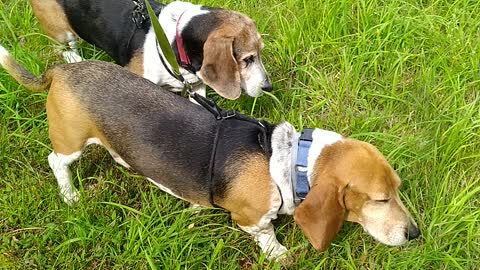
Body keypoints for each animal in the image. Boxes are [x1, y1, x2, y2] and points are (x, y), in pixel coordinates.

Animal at [0, 46, 418, 262]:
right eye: (380, 199)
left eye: (398, 189)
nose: (414, 234)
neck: (287, 162)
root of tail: (59, 71)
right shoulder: (251, 218)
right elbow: (267, 237)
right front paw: (281, 255)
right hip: (71, 142)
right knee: (57, 162)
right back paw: (70, 194)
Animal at [29, 0, 270, 99]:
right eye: (247, 59)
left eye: (260, 52)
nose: (269, 87)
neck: (174, 43)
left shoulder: (197, 87)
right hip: (62, 32)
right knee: (65, 46)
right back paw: (74, 59)